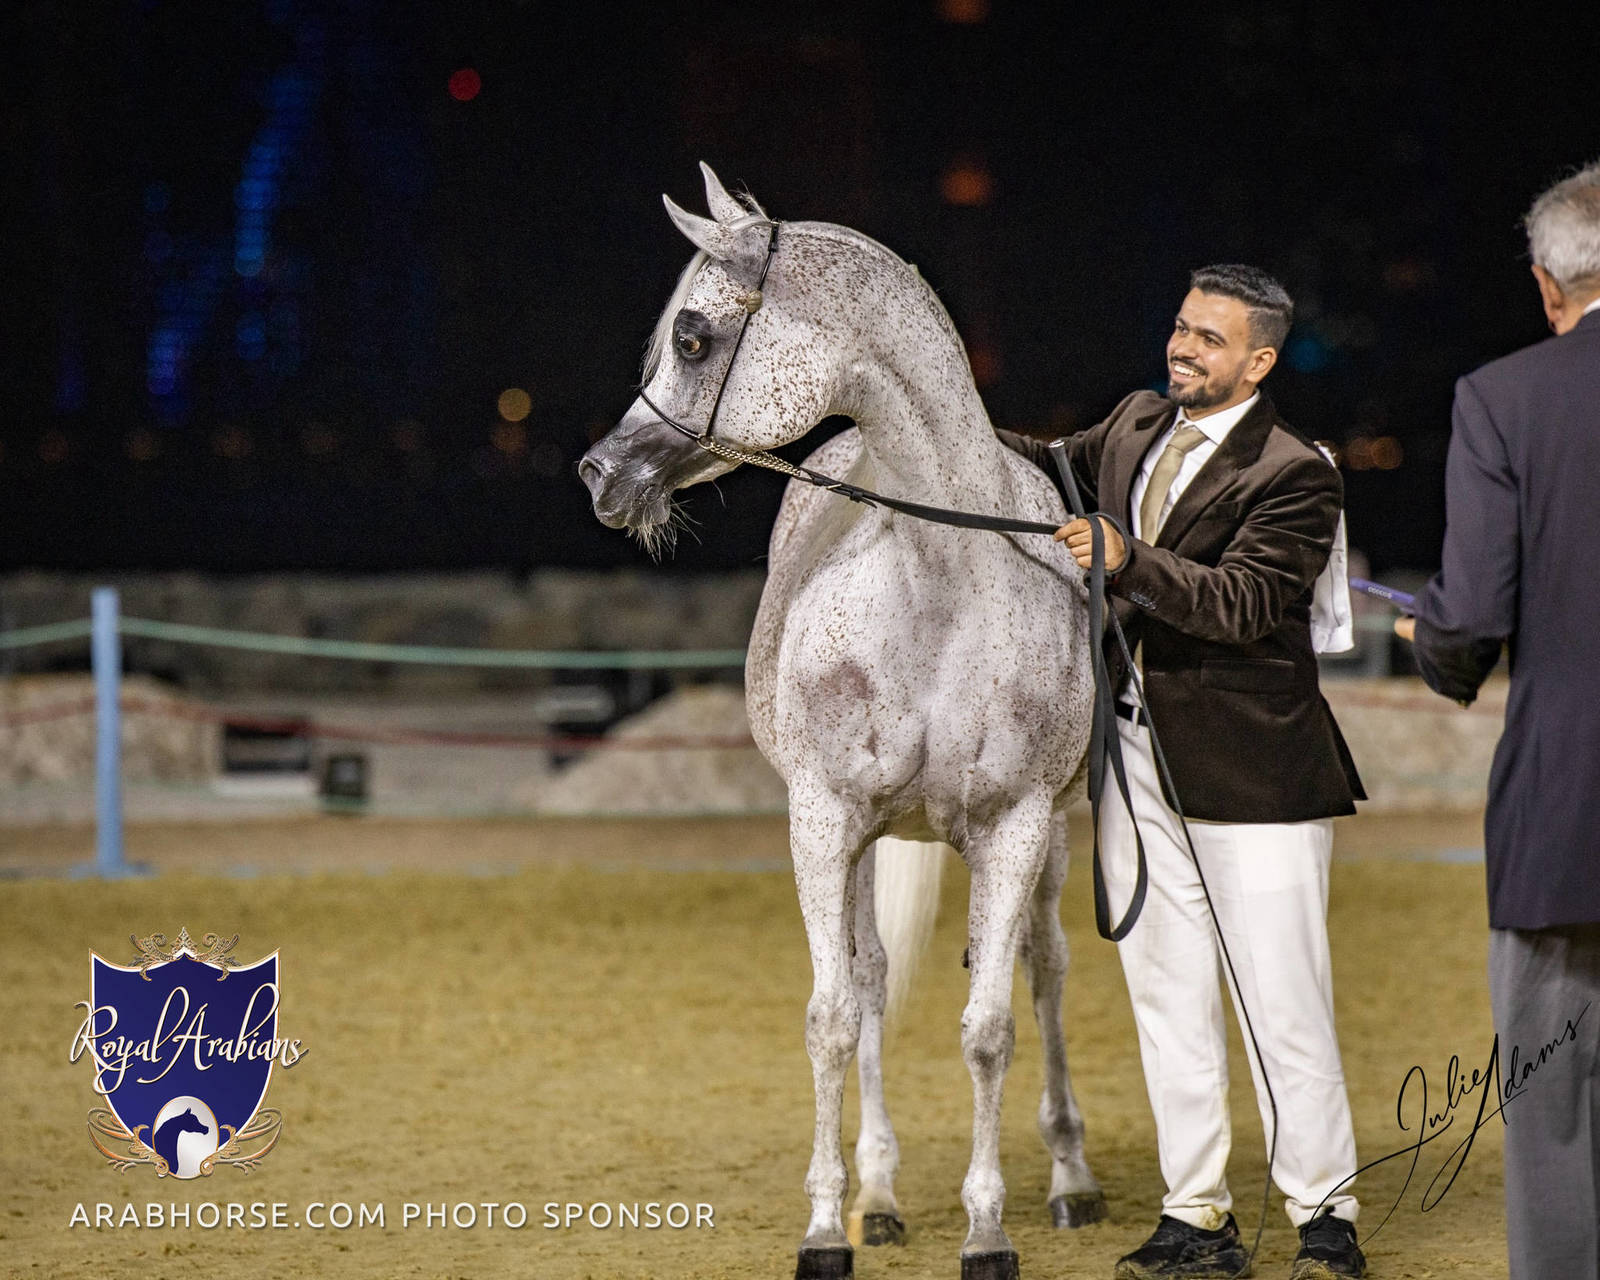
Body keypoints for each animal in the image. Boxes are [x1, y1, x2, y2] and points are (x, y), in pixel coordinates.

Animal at [580, 163, 1102, 1280]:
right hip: (862, 840)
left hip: (1047, 842)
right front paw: (827, 1224)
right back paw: (880, 1193)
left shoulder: (1016, 823)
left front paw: (989, 1230)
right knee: (865, 981)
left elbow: (989, 1025)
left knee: (1043, 967)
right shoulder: (823, 822)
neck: (942, 584)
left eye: (693, 337)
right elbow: (831, 1014)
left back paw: (1071, 1178)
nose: (601, 475)